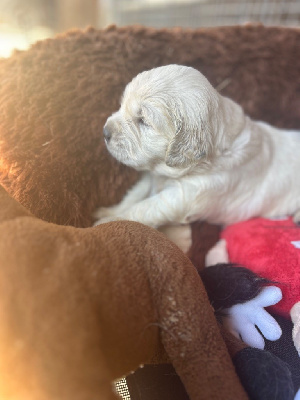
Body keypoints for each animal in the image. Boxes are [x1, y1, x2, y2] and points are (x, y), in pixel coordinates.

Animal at [94, 64, 300, 247]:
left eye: (143, 120)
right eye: (122, 104)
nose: (105, 132)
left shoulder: (184, 195)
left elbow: (144, 208)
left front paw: (110, 221)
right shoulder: (152, 176)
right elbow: (134, 195)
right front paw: (108, 212)